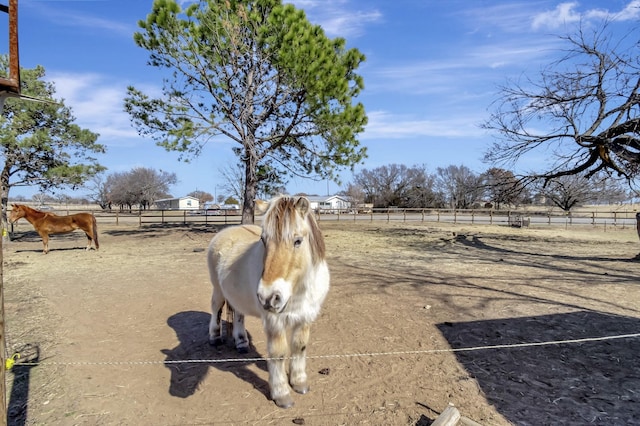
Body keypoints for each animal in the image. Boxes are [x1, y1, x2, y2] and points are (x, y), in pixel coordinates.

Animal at [208, 195, 330, 408]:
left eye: (298, 241)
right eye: (264, 240)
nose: (268, 297)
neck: (298, 290)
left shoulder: (305, 317)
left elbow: (299, 346)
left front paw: (299, 383)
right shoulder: (275, 322)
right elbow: (278, 354)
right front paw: (282, 394)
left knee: (238, 314)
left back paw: (241, 343)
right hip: (218, 290)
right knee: (216, 308)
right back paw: (215, 338)